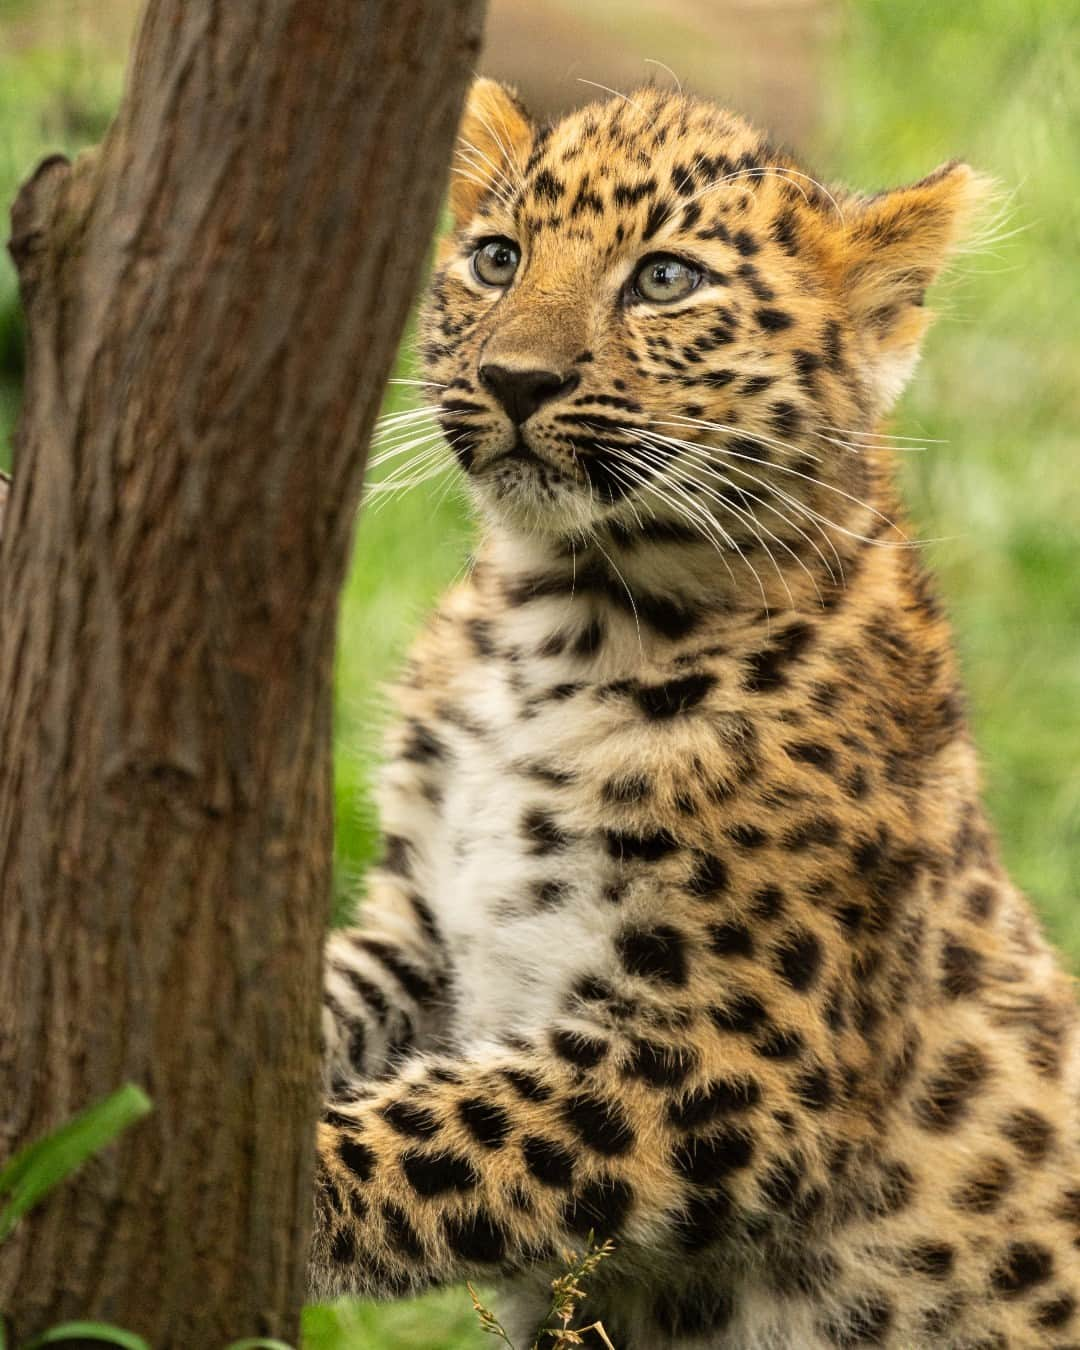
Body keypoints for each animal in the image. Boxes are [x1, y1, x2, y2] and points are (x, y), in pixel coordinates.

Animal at [306, 78, 1080, 1344]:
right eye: (495, 258)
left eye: (665, 280)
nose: (516, 380)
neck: (555, 615)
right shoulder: (422, 933)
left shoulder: (743, 1061)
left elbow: (437, 1134)